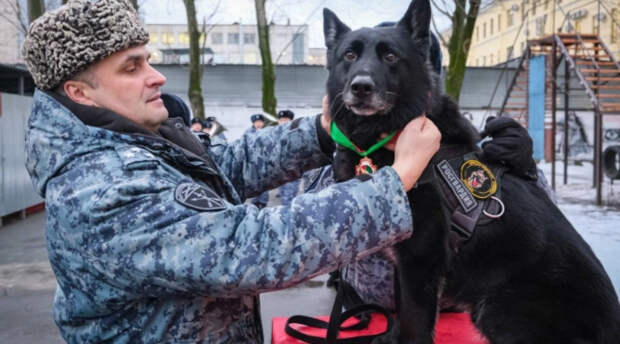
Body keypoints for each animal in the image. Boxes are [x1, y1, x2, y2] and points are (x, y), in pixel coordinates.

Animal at [322, 1, 620, 342]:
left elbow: (414, 323)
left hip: (497, 308)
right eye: (349, 55)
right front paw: (389, 336)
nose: (361, 87)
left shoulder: (420, 261)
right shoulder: (406, 264)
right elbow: (401, 310)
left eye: (390, 56)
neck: (388, 134)